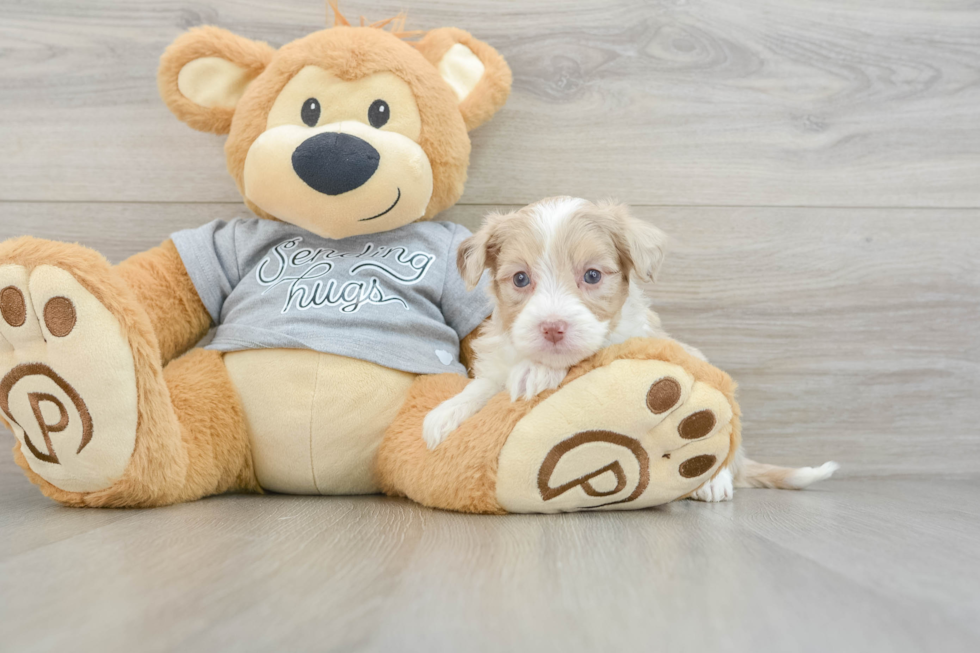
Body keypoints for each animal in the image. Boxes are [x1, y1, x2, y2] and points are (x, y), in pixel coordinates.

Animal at [422, 196, 836, 502]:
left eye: (592, 275)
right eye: (520, 279)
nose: (552, 328)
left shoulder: (624, 340)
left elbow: (582, 356)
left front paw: (538, 370)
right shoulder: (500, 357)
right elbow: (484, 385)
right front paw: (446, 414)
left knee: (726, 452)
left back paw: (713, 482)